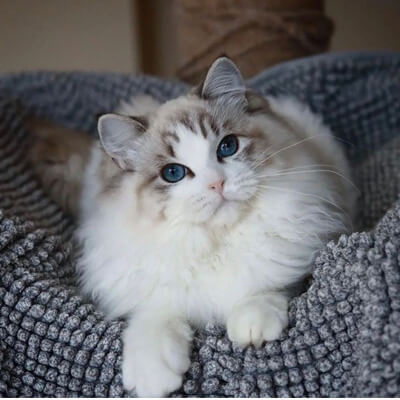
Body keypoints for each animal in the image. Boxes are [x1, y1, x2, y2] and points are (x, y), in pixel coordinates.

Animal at [29, 57, 358, 396]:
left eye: (227, 147)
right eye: (173, 173)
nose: (217, 183)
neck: (212, 241)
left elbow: (264, 286)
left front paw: (252, 326)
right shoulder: (147, 287)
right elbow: (155, 317)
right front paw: (153, 380)